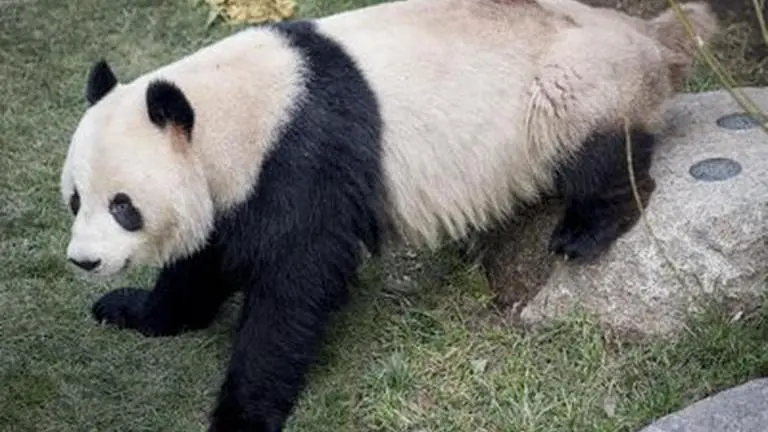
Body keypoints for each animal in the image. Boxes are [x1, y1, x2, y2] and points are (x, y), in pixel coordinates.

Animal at [59, 0, 717, 430]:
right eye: (75, 198)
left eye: (123, 207)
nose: (84, 261)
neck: (237, 109)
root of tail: (651, 34)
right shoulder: (242, 185)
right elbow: (205, 261)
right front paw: (133, 310)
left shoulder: (302, 158)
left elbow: (294, 285)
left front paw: (241, 413)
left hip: (575, 84)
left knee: (599, 150)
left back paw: (585, 229)